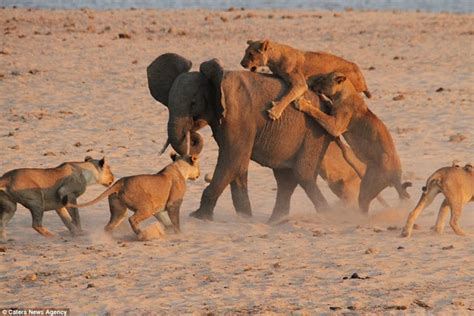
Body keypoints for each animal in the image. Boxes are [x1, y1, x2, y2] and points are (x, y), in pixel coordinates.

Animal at [63, 153, 200, 239]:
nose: (199, 173)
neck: (180, 168)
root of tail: (120, 181)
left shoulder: (158, 209)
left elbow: (165, 220)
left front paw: (169, 229)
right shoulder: (173, 204)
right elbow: (175, 221)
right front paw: (179, 233)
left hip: (119, 211)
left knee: (108, 226)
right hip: (146, 207)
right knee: (132, 219)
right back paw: (141, 234)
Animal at [148, 53, 362, 222]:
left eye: (193, 103)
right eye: (168, 103)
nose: (192, 134)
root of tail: (327, 104)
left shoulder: (238, 116)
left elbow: (231, 160)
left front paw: (199, 217)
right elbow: (238, 166)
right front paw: (245, 218)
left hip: (316, 133)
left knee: (303, 175)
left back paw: (328, 214)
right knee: (285, 180)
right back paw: (276, 221)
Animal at [241, 38, 370, 119]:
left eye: (250, 54)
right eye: (245, 52)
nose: (241, 63)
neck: (273, 61)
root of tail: (359, 71)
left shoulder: (300, 83)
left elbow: (288, 96)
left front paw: (274, 112)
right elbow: (290, 94)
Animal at [296, 71, 412, 214]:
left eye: (322, 79)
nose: (309, 82)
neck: (344, 93)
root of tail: (396, 176)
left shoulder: (335, 127)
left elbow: (318, 113)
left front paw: (303, 103)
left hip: (371, 185)